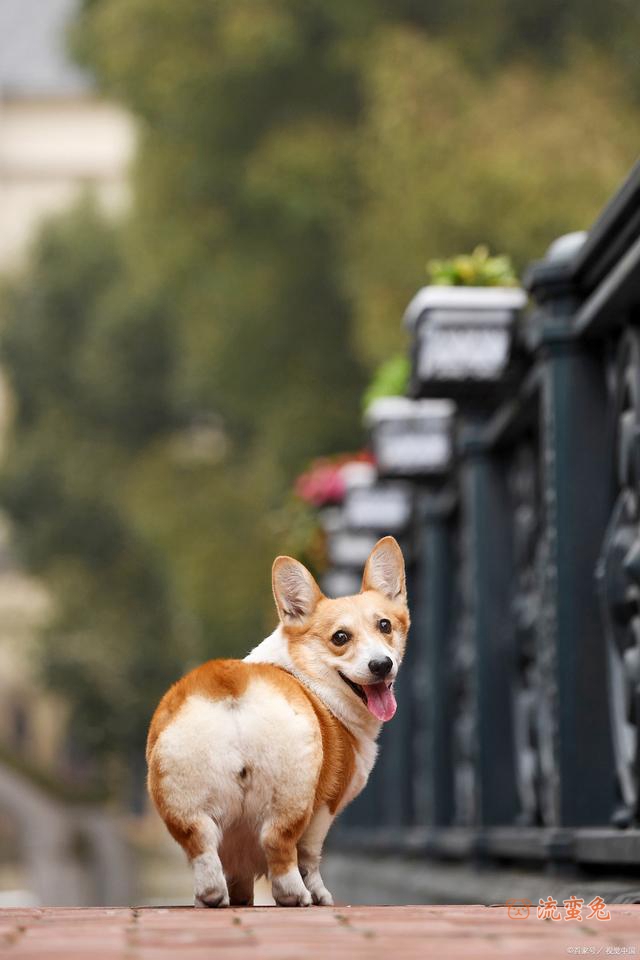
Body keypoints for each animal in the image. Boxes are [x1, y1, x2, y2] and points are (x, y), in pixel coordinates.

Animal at [147, 540, 408, 908]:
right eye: (340, 637)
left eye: (385, 625)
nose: (381, 665)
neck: (307, 674)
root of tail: (231, 685)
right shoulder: (324, 809)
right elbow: (310, 858)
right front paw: (320, 895)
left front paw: (241, 898)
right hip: (292, 794)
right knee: (279, 844)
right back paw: (296, 896)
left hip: (183, 801)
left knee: (202, 846)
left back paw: (211, 896)